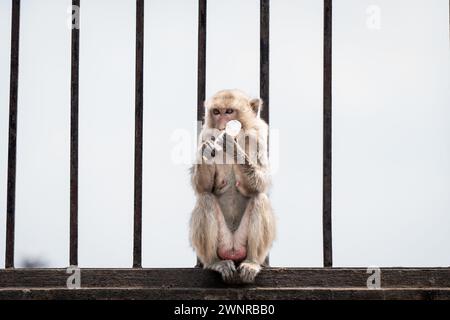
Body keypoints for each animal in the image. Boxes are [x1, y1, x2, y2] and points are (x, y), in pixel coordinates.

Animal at [189, 88, 276, 282]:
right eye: (216, 112)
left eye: (229, 111)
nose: (222, 125)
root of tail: (233, 249)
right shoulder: (204, 135)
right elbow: (203, 188)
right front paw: (207, 151)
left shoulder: (259, 138)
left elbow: (262, 184)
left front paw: (234, 148)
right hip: (222, 243)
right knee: (206, 199)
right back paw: (214, 262)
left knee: (259, 198)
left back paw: (251, 262)